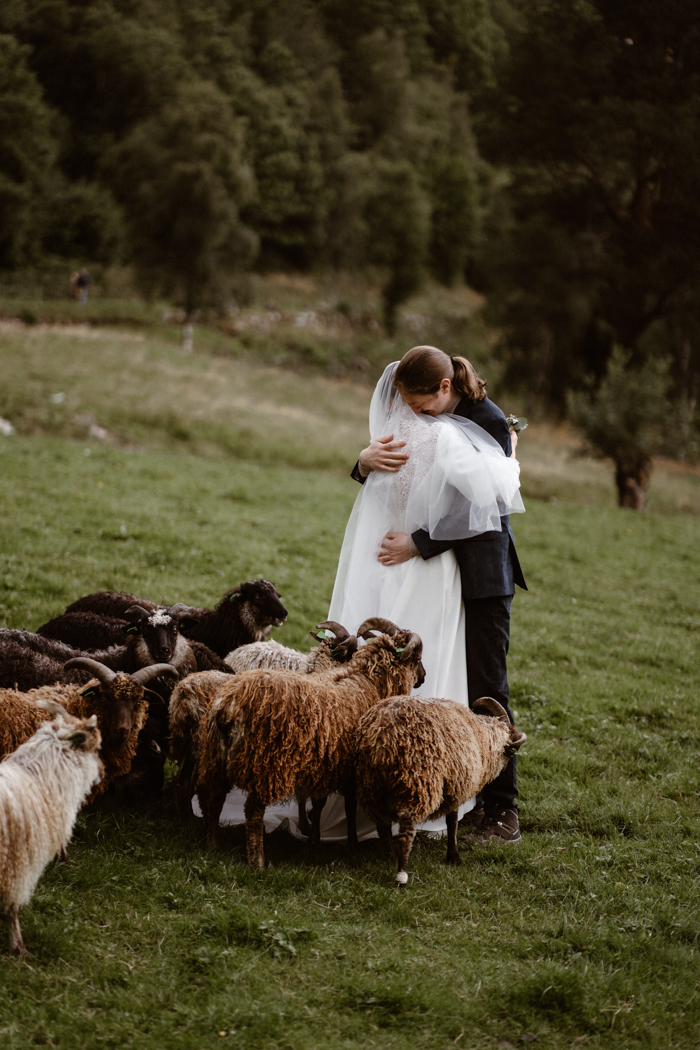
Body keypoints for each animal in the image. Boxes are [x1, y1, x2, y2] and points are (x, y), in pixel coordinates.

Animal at [0, 701, 103, 957]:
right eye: (96, 748)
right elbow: (11, 909)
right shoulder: (17, 866)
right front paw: (19, 948)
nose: (102, 773)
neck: (36, 777)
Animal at [356, 697, 524, 886]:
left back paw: (391, 858)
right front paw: (454, 857)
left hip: (371, 787)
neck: (482, 738)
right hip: (417, 783)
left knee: (382, 825)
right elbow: (452, 822)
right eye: (510, 754)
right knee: (406, 829)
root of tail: (381, 737)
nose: (505, 771)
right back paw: (401, 874)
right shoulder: (457, 786)